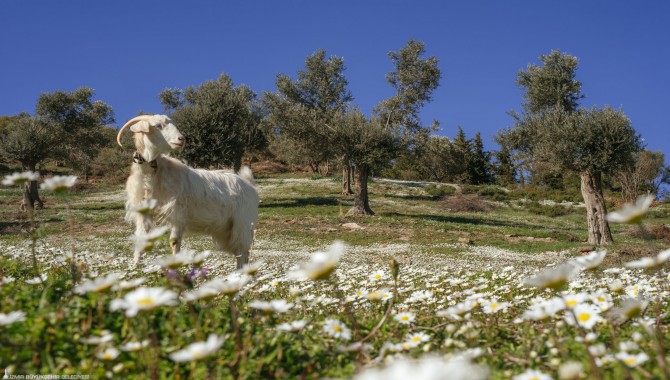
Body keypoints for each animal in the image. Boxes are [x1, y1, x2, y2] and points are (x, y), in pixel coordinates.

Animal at [117, 114, 258, 268]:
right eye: (158, 126)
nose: (181, 139)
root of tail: (248, 183)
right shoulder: (143, 212)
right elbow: (141, 238)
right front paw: (136, 266)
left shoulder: (177, 212)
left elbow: (174, 241)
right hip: (226, 230)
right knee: (241, 252)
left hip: (243, 224)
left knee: (243, 251)